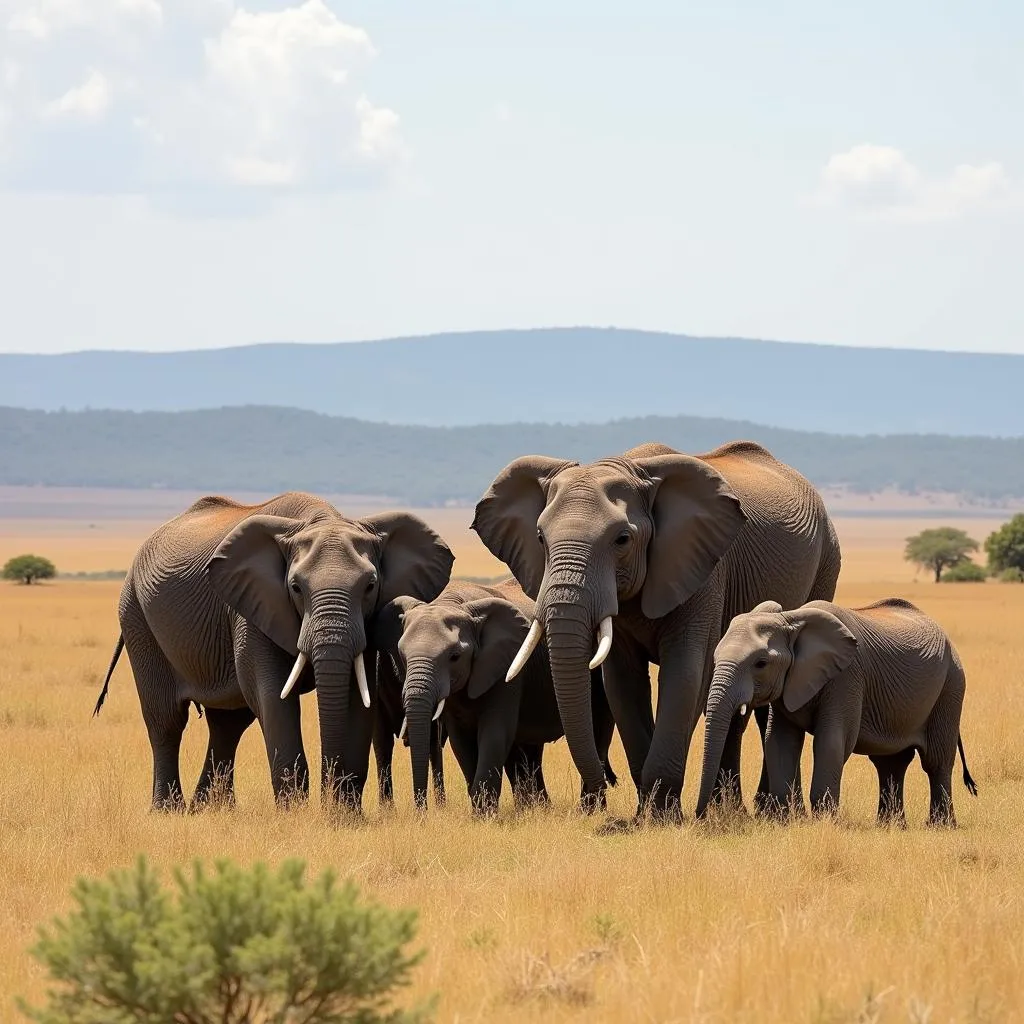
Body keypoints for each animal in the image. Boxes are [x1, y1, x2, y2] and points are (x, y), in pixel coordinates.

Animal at [94, 491, 454, 811]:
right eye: (295, 588)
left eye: (370, 586)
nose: (328, 799)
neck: (322, 519)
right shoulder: (252, 607)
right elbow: (271, 694)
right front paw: (296, 814)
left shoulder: (367, 622)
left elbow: (358, 695)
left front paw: (347, 814)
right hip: (136, 616)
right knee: (166, 719)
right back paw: (168, 810)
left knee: (228, 724)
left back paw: (212, 809)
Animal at [370, 581, 614, 811]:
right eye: (402, 655)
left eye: (455, 657)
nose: (423, 811)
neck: (453, 602)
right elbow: (461, 741)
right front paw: (480, 813)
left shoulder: (507, 667)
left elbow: (495, 733)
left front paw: (485, 815)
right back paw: (537, 809)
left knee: (597, 732)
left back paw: (590, 810)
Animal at [471, 436, 839, 819]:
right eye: (540, 538)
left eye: (622, 539)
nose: (602, 790)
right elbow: (621, 681)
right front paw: (644, 815)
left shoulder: (703, 568)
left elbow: (686, 674)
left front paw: (664, 816)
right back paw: (732, 808)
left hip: (826, 562)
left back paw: (763, 811)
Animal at [696, 598, 974, 823]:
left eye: (761, 664)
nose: (700, 817)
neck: (792, 619)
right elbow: (778, 741)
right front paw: (784, 822)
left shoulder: (847, 677)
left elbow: (831, 741)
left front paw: (824, 822)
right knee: (890, 763)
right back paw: (890, 826)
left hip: (951, 685)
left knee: (936, 761)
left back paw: (940, 826)